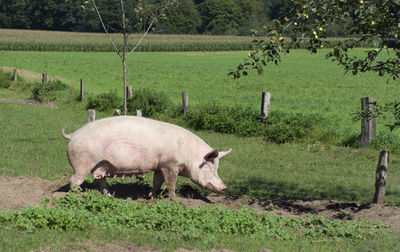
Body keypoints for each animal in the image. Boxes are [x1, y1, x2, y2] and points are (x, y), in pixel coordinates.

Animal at [61, 116, 231, 199]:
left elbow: (157, 182)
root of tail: (72, 135)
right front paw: (174, 199)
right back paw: (77, 195)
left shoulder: (160, 166)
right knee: (75, 180)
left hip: (100, 165)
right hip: (83, 162)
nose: (224, 187)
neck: (189, 154)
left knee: (99, 180)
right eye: (210, 166)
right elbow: (171, 184)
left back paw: (110, 196)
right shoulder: (170, 165)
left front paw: (151, 197)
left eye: (217, 167)